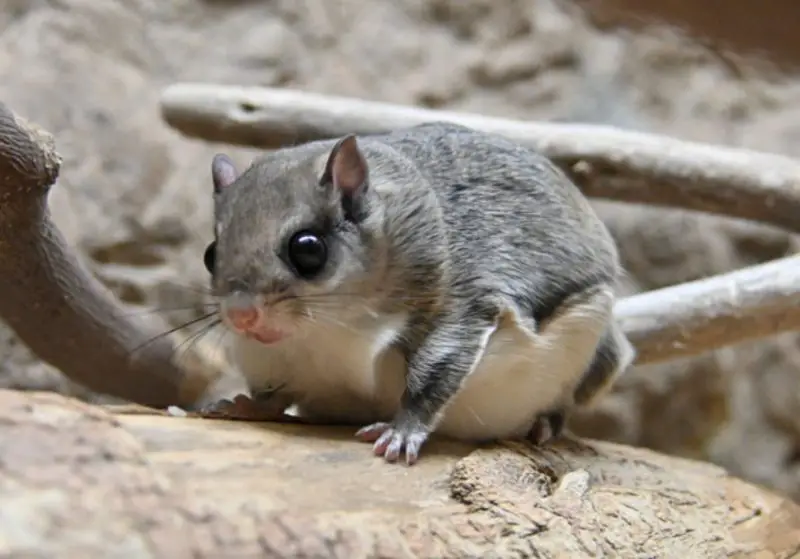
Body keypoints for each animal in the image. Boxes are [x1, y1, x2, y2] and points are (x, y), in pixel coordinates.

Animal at [200, 121, 635, 465]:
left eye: (308, 249)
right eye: (210, 254)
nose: (241, 316)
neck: (330, 325)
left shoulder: (465, 305)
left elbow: (431, 377)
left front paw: (402, 431)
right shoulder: (277, 361)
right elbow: (275, 395)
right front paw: (241, 405)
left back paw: (545, 423)